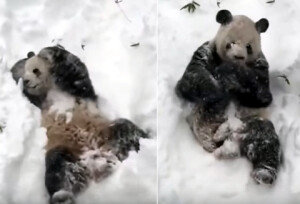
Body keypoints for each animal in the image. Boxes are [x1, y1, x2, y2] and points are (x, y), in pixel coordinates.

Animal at [11, 45, 147, 204]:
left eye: (35, 70)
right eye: (26, 73)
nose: (26, 81)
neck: (50, 89)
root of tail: (98, 163)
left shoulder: (78, 92)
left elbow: (78, 74)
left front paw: (47, 52)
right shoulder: (39, 102)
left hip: (106, 132)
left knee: (126, 128)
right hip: (66, 149)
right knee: (58, 167)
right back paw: (62, 196)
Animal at [176, 9, 282, 185]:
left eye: (249, 46)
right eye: (230, 43)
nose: (238, 57)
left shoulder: (260, 65)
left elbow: (262, 95)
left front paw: (230, 72)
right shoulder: (205, 52)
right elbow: (189, 80)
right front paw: (218, 90)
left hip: (254, 123)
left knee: (267, 142)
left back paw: (263, 172)